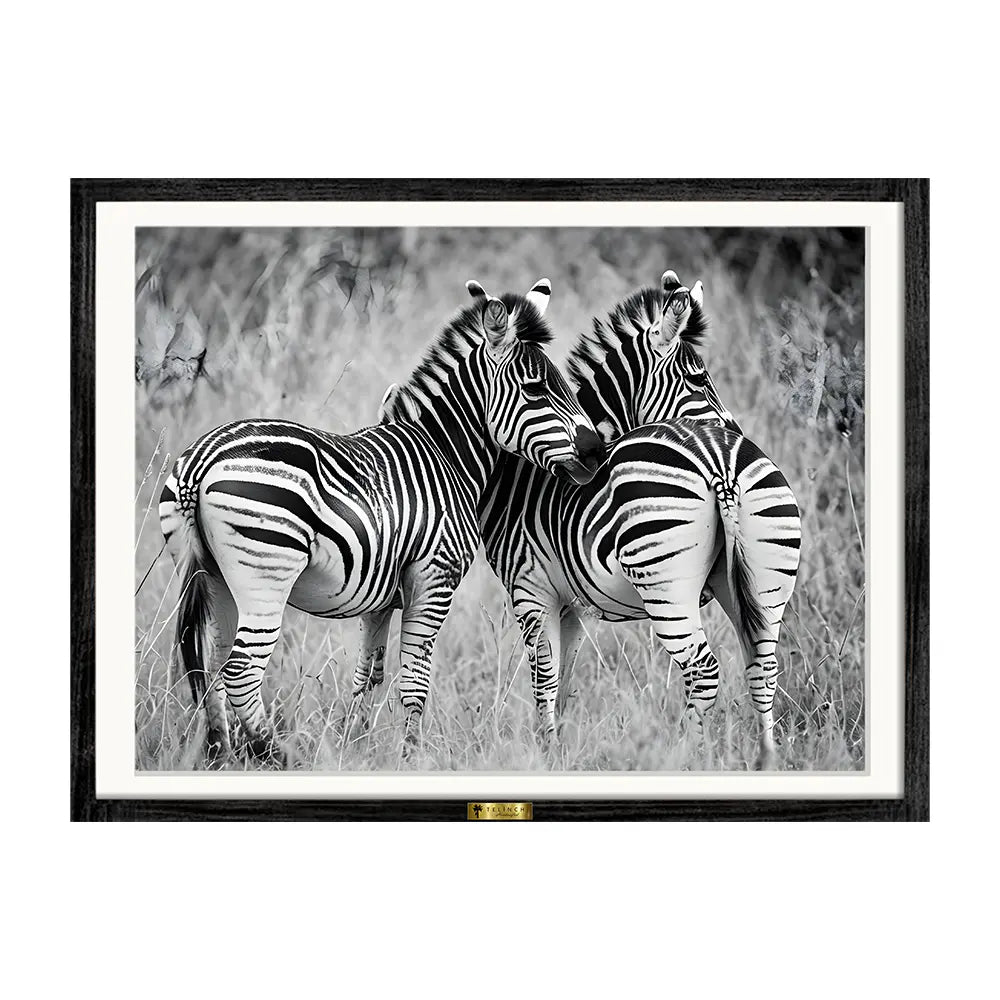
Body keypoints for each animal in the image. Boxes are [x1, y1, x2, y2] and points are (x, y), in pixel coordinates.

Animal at [159, 278, 605, 760]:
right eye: (535, 389)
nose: (597, 451)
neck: (446, 453)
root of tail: (200, 461)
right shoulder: (434, 577)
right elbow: (415, 681)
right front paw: (411, 755)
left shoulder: (380, 598)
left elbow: (368, 676)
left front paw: (354, 746)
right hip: (266, 577)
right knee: (240, 671)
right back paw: (278, 756)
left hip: (213, 577)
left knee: (212, 667)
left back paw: (221, 753)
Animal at [476, 271, 801, 768]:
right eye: (698, 381)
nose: (739, 433)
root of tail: (722, 462)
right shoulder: (572, 603)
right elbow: (563, 682)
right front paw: (560, 752)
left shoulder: (531, 589)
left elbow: (544, 682)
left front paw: (547, 754)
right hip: (764, 582)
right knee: (763, 667)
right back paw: (766, 760)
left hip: (668, 586)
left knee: (703, 670)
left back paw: (685, 757)